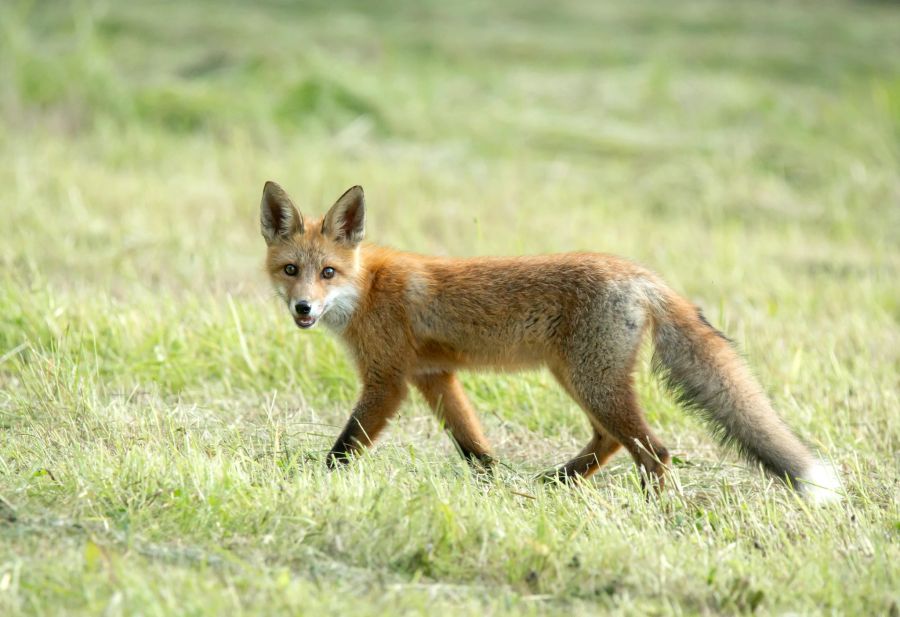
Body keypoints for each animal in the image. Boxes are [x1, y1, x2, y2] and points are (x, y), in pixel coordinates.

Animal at [260, 180, 844, 502]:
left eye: (328, 272)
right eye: (291, 271)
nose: (303, 309)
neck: (369, 288)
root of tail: (641, 275)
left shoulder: (388, 382)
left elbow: (344, 447)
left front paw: (308, 481)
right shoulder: (433, 377)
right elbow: (474, 446)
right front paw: (494, 487)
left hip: (592, 382)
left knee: (653, 450)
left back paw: (655, 511)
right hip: (578, 378)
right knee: (610, 441)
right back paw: (557, 482)